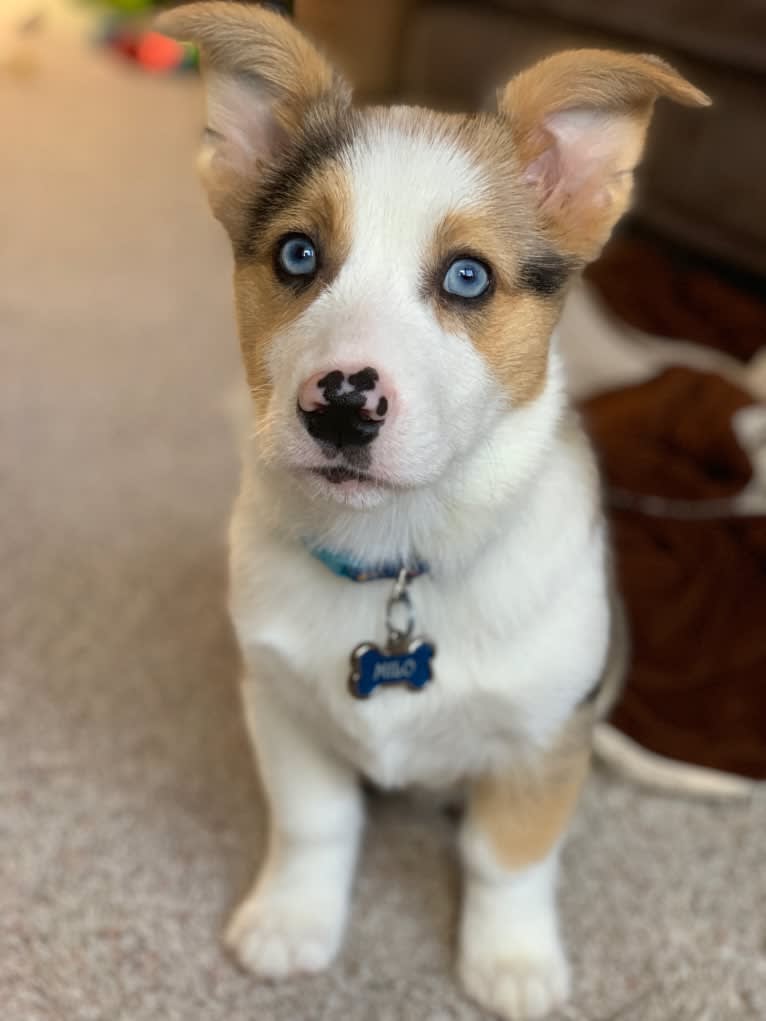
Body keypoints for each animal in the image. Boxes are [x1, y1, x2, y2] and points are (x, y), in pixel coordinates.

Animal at [157, 5, 714, 1012]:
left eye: (467, 277)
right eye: (297, 254)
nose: (341, 406)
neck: (399, 557)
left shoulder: (543, 739)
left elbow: (508, 858)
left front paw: (513, 961)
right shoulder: (282, 707)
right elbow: (315, 823)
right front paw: (293, 918)